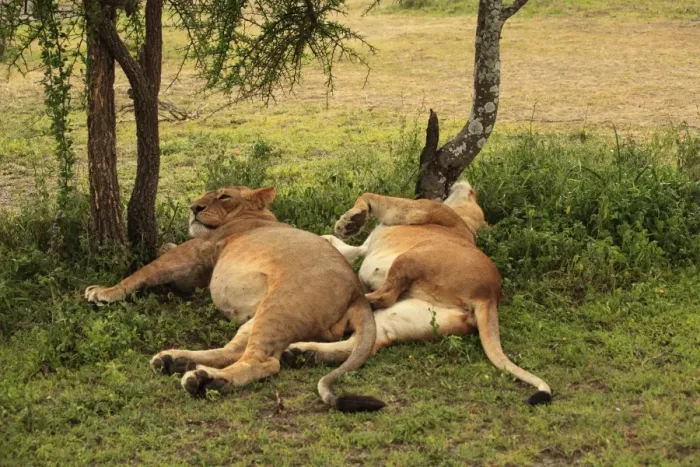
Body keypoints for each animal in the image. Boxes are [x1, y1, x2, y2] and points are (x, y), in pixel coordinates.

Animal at [84, 186, 385, 413]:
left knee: (264, 362)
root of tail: (358, 295)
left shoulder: (194, 251)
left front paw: (104, 292)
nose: (193, 208)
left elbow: (145, 271)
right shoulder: (197, 274)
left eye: (224, 196)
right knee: (233, 350)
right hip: (261, 315)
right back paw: (175, 361)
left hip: (279, 305)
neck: (256, 216)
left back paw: (206, 381)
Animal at [283, 182, 552, 405]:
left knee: (383, 297)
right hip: (405, 314)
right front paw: (340, 230)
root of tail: (489, 296)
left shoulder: (416, 208)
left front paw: (351, 221)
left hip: (413, 256)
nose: (470, 185)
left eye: (474, 195)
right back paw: (300, 354)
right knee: (365, 342)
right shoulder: (364, 247)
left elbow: (369, 196)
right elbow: (334, 241)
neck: (465, 223)